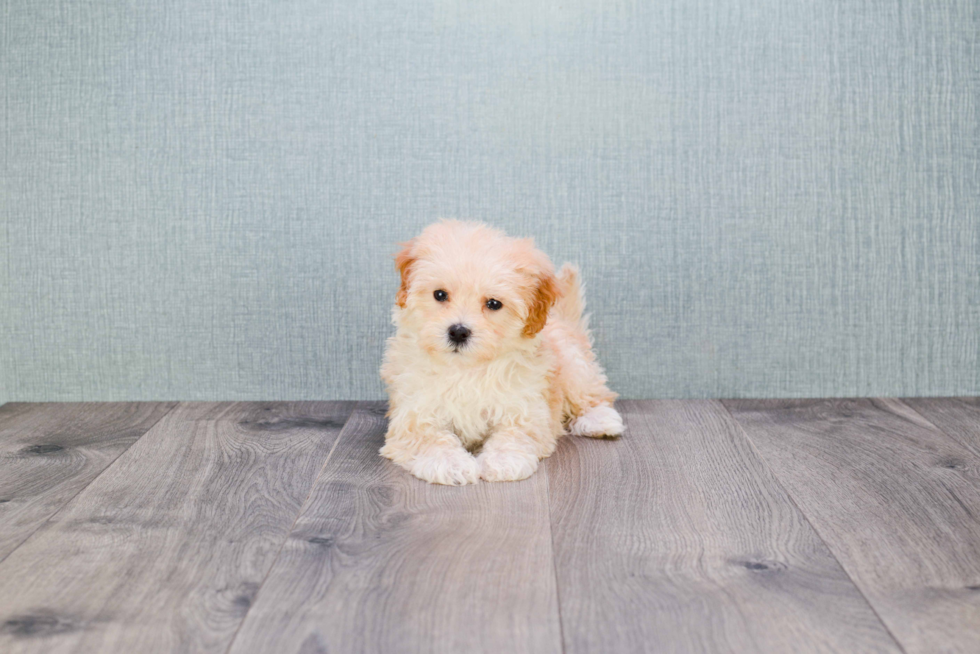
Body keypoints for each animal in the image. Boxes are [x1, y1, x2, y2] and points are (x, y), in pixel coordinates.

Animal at [378, 223, 624, 484]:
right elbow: (430, 439)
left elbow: (514, 435)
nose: (458, 332)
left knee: (593, 394)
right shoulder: (413, 414)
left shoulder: (525, 408)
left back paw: (600, 420)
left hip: (573, 365)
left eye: (494, 304)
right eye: (440, 294)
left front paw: (503, 462)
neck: (466, 369)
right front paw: (451, 463)